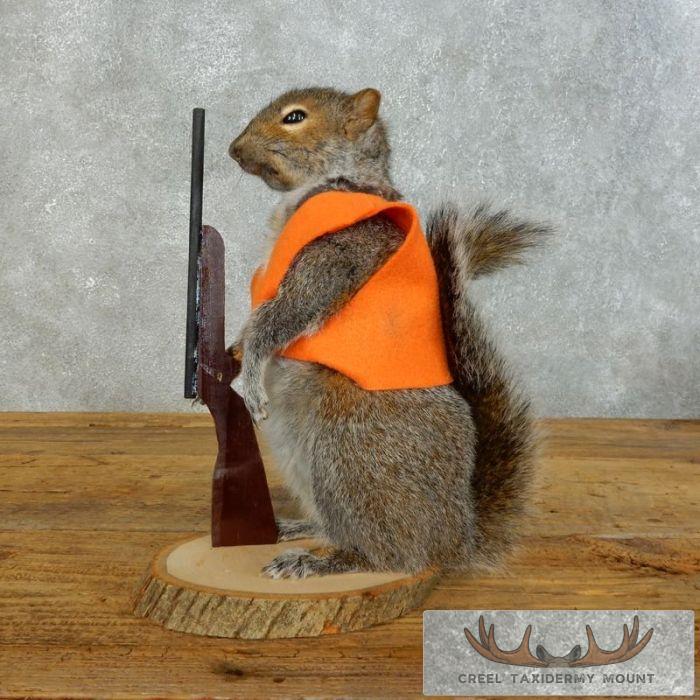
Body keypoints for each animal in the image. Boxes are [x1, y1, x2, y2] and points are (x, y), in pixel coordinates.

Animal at [227, 87, 547, 579]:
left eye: (294, 117)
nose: (234, 150)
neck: (336, 181)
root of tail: (455, 539)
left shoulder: (344, 249)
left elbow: (288, 309)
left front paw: (251, 374)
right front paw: (237, 349)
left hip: (350, 453)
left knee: (391, 555)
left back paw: (322, 562)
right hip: (299, 452)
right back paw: (299, 529)